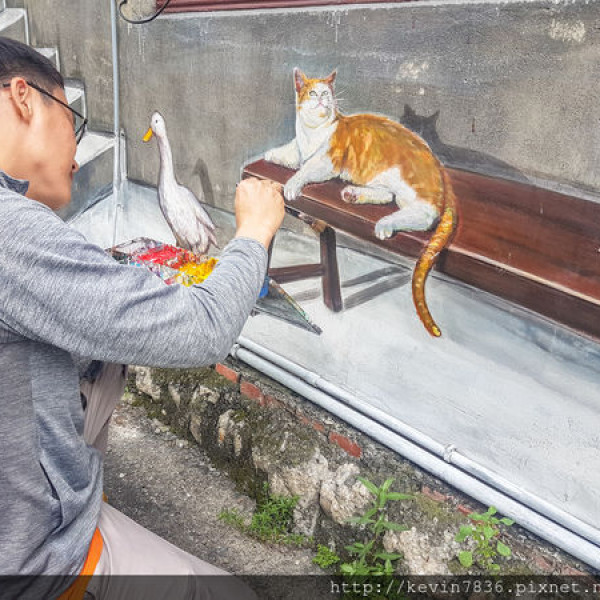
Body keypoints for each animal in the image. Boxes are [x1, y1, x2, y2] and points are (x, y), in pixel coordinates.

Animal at [264, 68, 458, 338]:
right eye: (313, 93)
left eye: (326, 93)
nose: (322, 99)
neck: (312, 131)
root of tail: (438, 164)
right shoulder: (300, 150)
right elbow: (292, 153)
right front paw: (272, 153)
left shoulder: (327, 162)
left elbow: (305, 169)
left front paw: (292, 184)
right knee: (387, 196)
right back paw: (354, 195)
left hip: (408, 183)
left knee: (426, 214)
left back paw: (385, 223)